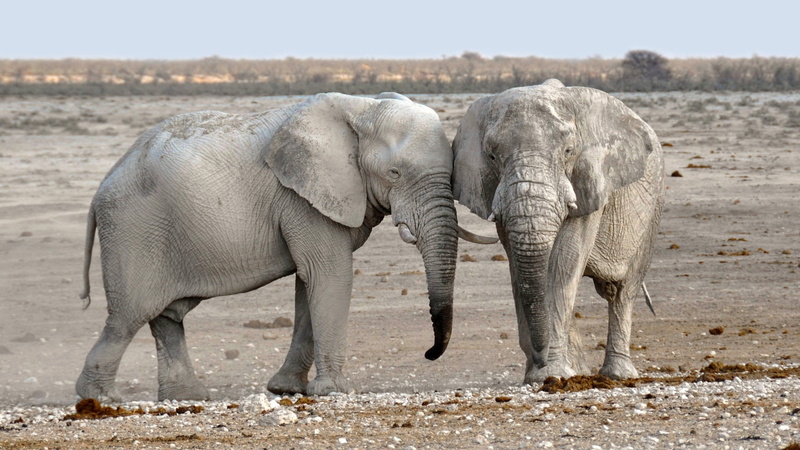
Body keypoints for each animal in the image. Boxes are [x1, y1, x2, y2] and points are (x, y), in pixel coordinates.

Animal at [77, 92, 492, 401]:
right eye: (394, 173)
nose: (429, 353)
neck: (360, 109)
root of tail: (103, 184)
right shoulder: (301, 196)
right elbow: (329, 275)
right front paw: (333, 391)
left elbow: (309, 284)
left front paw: (286, 390)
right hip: (133, 229)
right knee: (128, 316)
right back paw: (99, 398)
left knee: (166, 317)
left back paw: (187, 397)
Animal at [452, 79, 665, 383]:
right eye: (492, 155)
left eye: (568, 151)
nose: (539, 360)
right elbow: (520, 269)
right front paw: (541, 377)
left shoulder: (590, 181)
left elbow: (563, 261)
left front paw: (551, 376)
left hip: (654, 205)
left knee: (623, 290)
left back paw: (618, 375)